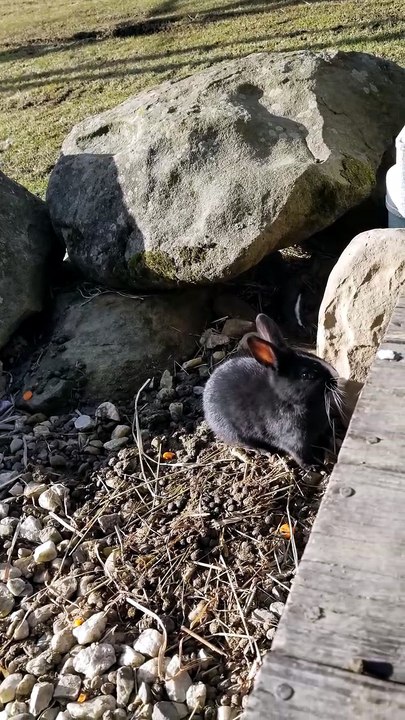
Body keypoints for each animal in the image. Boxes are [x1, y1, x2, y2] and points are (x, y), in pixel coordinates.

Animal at [203, 313, 340, 469]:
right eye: (307, 375)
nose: (335, 378)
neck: (288, 400)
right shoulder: (293, 440)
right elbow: (300, 455)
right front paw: (313, 467)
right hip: (234, 433)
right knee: (244, 443)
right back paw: (264, 450)